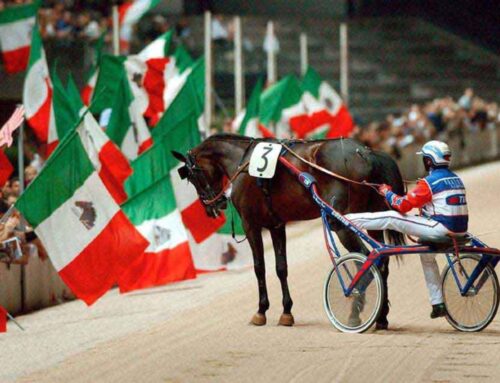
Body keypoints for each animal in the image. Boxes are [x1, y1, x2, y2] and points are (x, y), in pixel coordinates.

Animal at [174, 135, 404, 330]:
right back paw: (381, 317)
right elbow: (281, 268)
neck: (243, 162)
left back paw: (356, 312)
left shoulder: (251, 225)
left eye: (192, 176)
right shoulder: (276, 225)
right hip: (372, 220)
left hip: (340, 223)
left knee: (366, 261)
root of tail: (366, 152)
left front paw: (261, 311)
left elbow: (259, 268)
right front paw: (286, 312)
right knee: (381, 261)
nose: (213, 206)